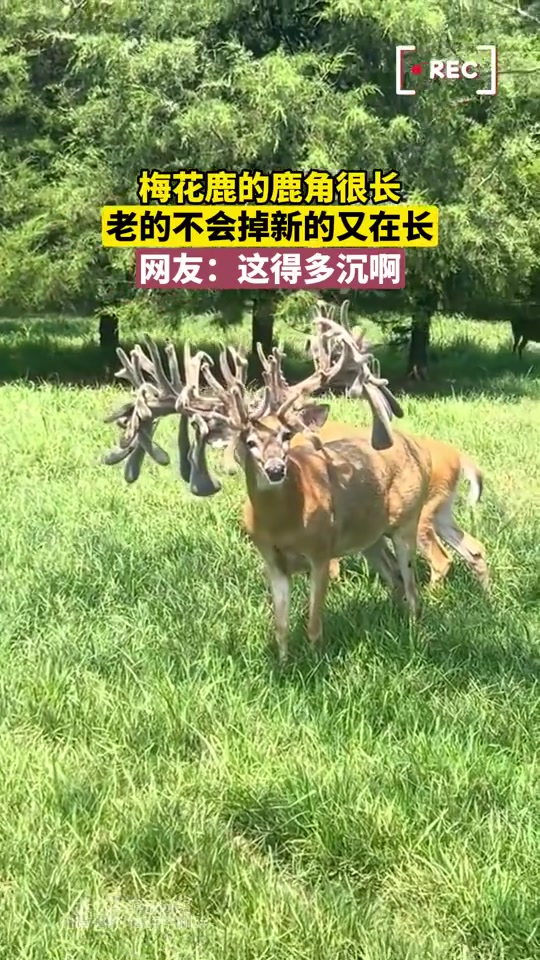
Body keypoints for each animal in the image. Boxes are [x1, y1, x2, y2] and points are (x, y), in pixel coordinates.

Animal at [102, 311, 434, 663]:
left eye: (287, 435)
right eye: (249, 442)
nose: (275, 469)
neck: (285, 524)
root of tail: (415, 448)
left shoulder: (321, 552)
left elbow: (313, 623)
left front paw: (315, 660)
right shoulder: (272, 560)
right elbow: (281, 625)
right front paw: (284, 663)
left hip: (407, 520)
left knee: (412, 585)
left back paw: (414, 633)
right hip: (368, 537)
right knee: (394, 576)